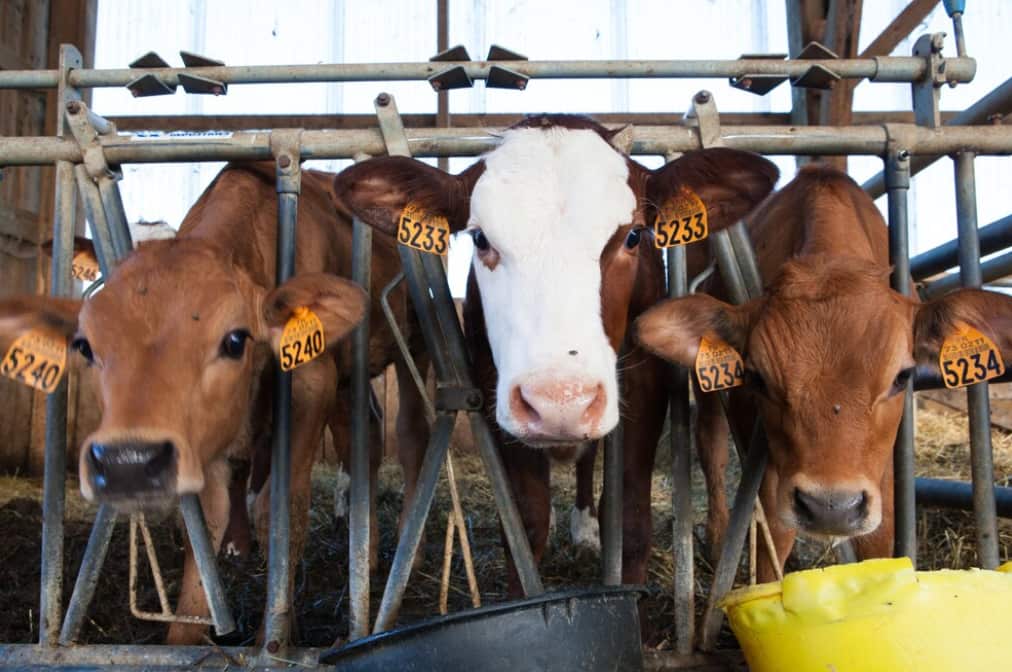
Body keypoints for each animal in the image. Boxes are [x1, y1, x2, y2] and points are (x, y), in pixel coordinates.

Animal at [0, 161, 432, 644]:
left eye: (234, 340)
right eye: (85, 346)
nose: (127, 463)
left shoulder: (310, 383)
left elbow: (282, 509)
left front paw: (275, 636)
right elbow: (207, 520)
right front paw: (186, 635)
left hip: (416, 339)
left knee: (412, 433)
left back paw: (409, 552)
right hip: (349, 375)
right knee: (364, 438)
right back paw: (368, 554)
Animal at [331, 115, 779, 591]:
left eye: (633, 235)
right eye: (481, 238)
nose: (560, 403)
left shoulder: (647, 384)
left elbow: (630, 519)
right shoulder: (494, 388)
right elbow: (526, 525)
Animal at [636, 164, 1012, 581]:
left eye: (902, 377)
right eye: (758, 378)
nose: (831, 507)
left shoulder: (882, 465)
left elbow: (877, 539)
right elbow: (774, 541)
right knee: (712, 444)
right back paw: (719, 544)